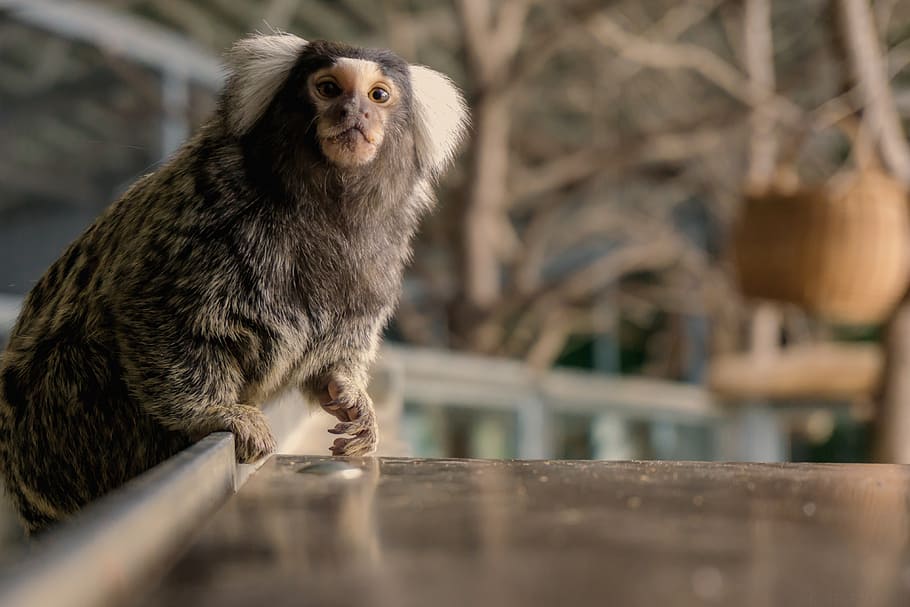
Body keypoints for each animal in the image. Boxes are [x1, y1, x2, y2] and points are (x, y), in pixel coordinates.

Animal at [0, 33, 468, 534]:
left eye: (378, 96)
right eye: (327, 88)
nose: (354, 113)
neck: (326, 208)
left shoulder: (383, 252)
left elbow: (336, 352)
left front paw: (348, 395)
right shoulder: (209, 208)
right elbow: (158, 312)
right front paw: (216, 413)